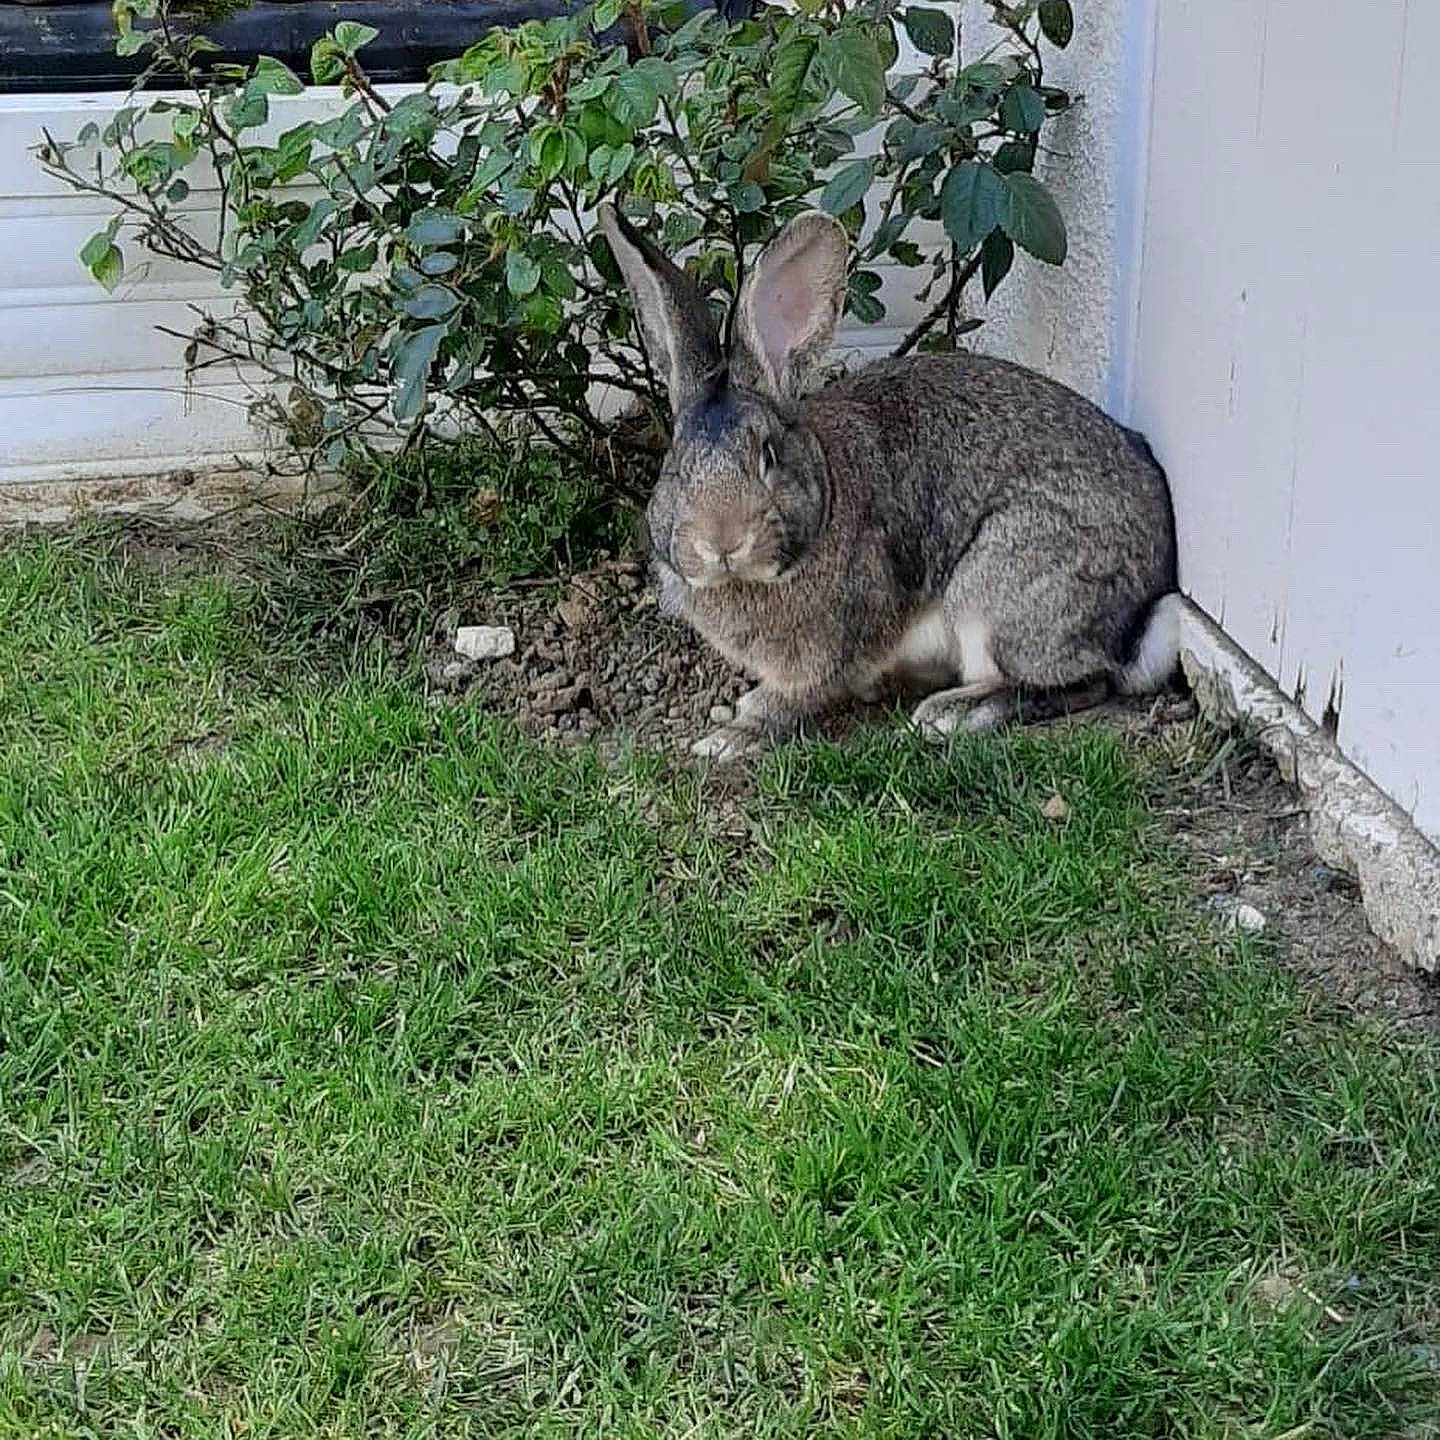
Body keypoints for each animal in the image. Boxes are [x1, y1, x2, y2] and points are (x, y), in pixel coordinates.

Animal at [597, 202, 1180, 761]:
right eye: (675, 463)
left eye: (768, 454)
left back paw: (949, 713)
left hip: (999, 588)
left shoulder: (827, 650)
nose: (722, 541)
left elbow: (790, 698)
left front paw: (729, 738)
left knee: (1081, 683)